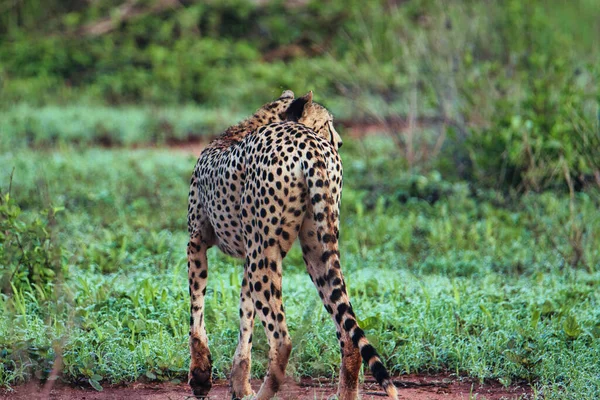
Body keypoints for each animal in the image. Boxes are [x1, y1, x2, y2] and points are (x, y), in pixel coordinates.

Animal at [185, 90, 396, 400]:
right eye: (327, 123)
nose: (340, 142)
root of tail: (310, 143)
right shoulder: (251, 254)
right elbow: (245, 319)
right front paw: (239, 385)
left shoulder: (197, 241)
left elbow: (196, 310)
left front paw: (201, 375)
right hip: (316, 248)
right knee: (348, 335)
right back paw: (345, 394)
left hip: (268, 255)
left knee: (282, 340)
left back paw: (263, 396)